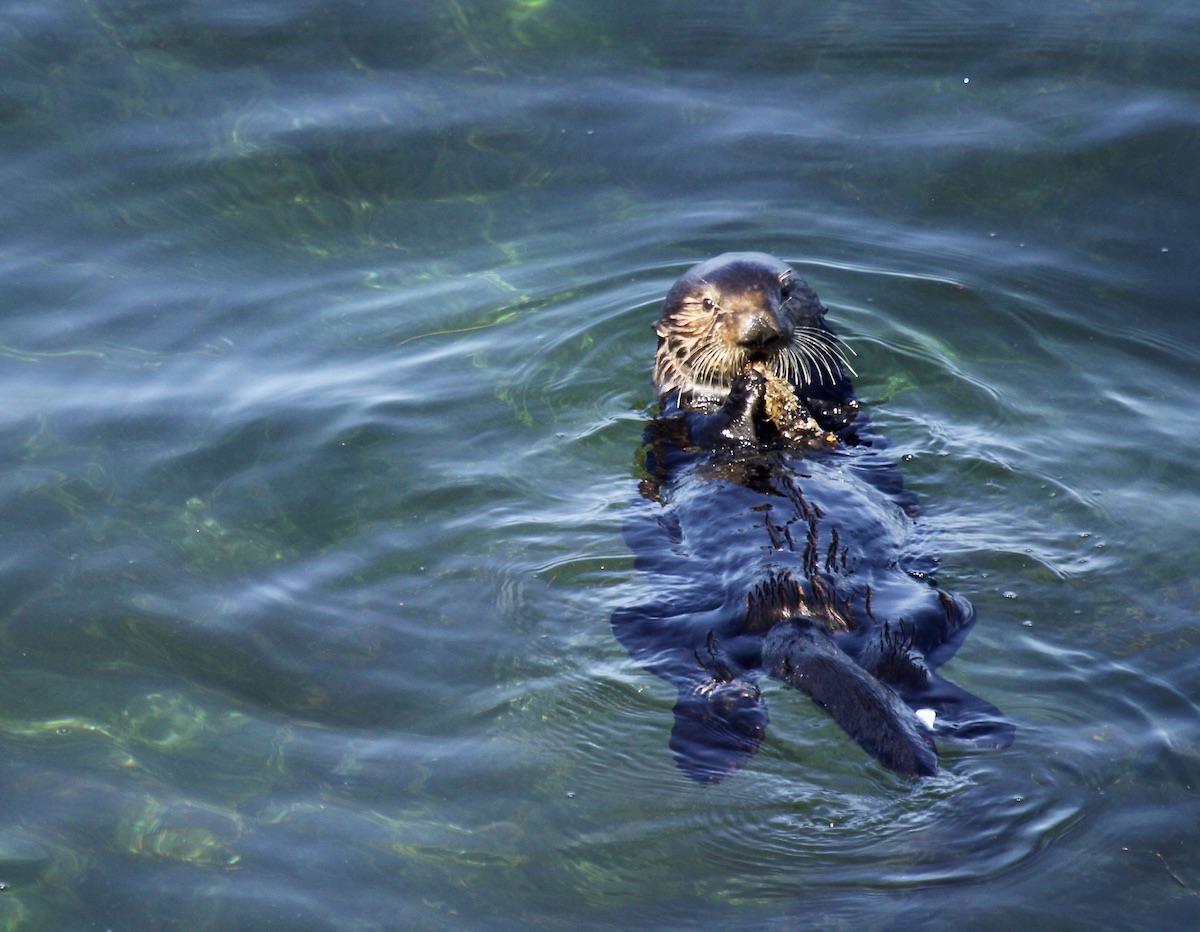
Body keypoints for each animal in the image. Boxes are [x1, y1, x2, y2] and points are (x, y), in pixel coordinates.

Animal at [613, 252, 1013, 780]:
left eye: (782, 294)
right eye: (708, 304)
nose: (759, 332)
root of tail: (797, 611)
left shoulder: (843, 415)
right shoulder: (679, 425)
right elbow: (714, 433)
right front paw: (746, 390)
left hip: (924, 608)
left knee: (900, 663)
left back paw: (975, 725)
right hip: (657, 624)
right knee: (713, 674)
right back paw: (712, 748)